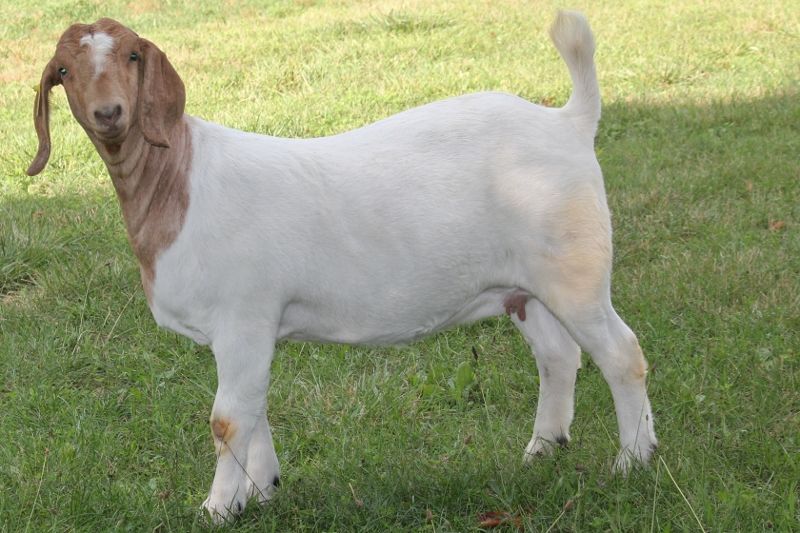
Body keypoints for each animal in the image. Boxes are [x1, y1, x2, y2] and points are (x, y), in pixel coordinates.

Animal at [27, 11, 657, 522]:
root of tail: (569, 122)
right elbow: (253, 409)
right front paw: (261, 491)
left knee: (622, 354)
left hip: (575, 270)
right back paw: (542, 450)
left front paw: (216, 508)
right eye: (63, 70)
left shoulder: (242, 317)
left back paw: (635, 461)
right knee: (559, 356)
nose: (110, 113)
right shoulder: (248, 332)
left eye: (133, 56)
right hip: (525, 286)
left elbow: (227, 419)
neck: (178, 182)